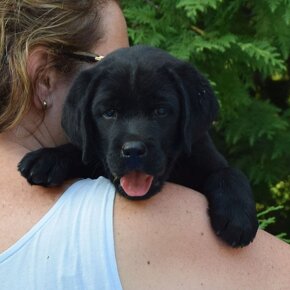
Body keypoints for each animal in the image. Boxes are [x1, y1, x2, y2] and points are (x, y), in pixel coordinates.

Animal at [18, 45, 258, 247]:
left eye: (161, 111)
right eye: (109, 113)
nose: (133, 150)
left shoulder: (205, 155)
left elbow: (229, 172)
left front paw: (237, 215)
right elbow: (81, 153)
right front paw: (48, 158)